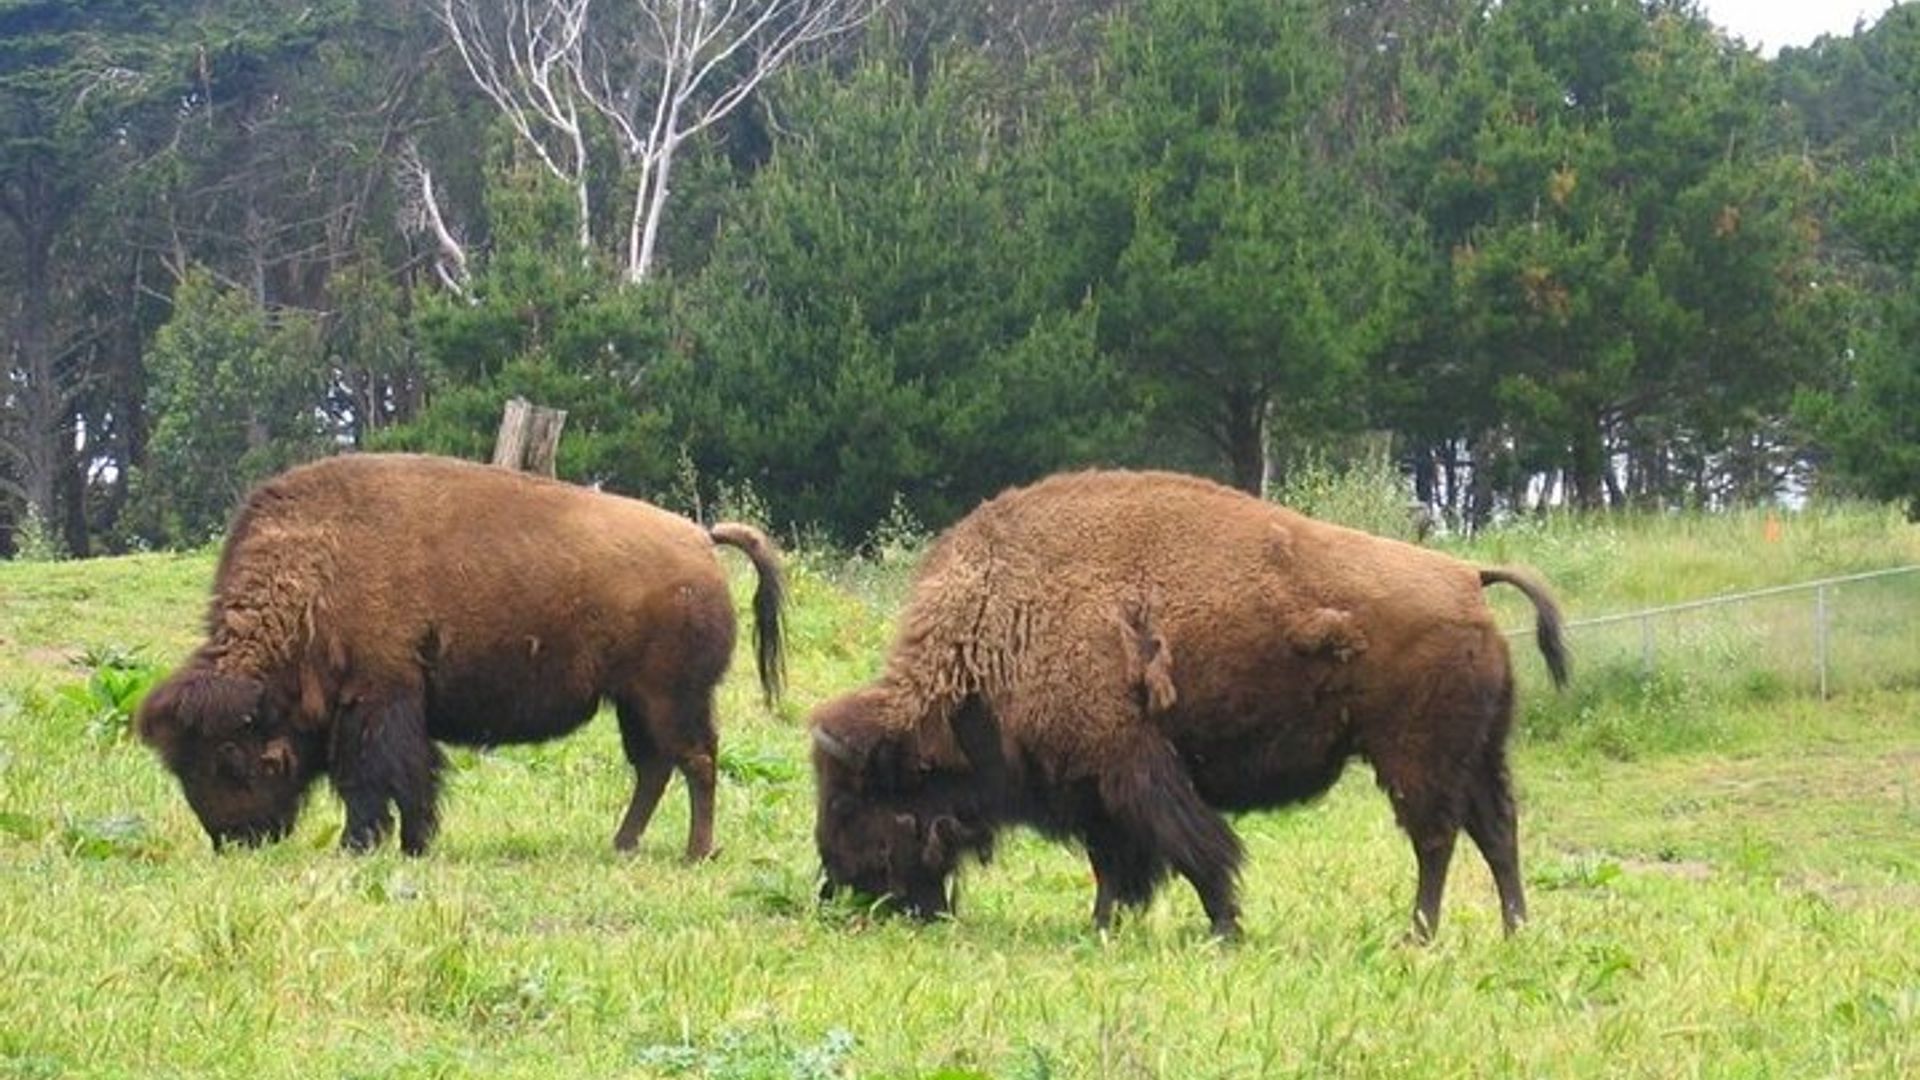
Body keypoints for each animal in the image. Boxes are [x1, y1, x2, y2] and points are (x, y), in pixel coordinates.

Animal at [138, 453, 784, 858]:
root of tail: (700, 539)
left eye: (229, 758)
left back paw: (695, 852)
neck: (314, 577)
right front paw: (414, 843)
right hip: (633, 702)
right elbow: (416, 779)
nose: (233, 839)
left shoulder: (377, 702)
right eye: (179, 766)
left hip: (671, 697)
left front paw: (361, 847)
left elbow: (373, 781)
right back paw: (623, 845)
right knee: (654, 767)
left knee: (695, 761)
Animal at [811, 469, 1566, 939]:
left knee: (1437, 840)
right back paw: (1514, 930)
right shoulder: (1094, 790)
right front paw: (1104, 925)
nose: (837, 882)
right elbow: (1115, 865)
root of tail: (1467, 576)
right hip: (1479, 754)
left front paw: (1224, 927)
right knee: (1497, 832)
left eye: (851, 799)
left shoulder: (1132, 770)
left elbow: (1194, 849)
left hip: (1415, 758)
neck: (999, 626)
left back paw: (1419, 935)